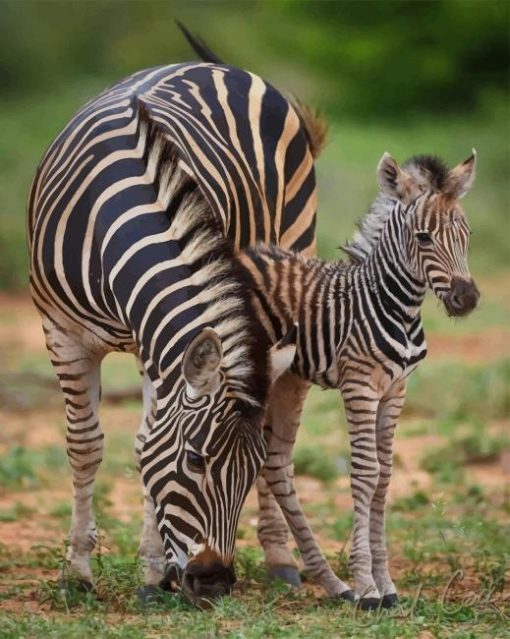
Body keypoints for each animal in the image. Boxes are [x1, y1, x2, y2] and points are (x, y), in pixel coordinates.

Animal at [27, 60, 328, 604]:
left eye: (248, 470)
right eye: (194, 460)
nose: (215, 581)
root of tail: (217, 65)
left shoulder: (156, 345)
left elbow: (146, 442)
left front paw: (152, 575)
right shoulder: (62, 332)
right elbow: (87, 446)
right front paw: (77, 571)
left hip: (294, 246)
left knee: (281, 433)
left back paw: (279, 558)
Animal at [237, 151, 480, 608]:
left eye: (466, 234)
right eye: (423, 238)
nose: (467, 299)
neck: (396, 306)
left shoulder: (396, 390)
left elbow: (385, 476)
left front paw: (385, 584)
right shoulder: (360, 386)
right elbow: (365, 473)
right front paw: (368, 586)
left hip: (284, 378)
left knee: (275, 463)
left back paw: (330, 581)